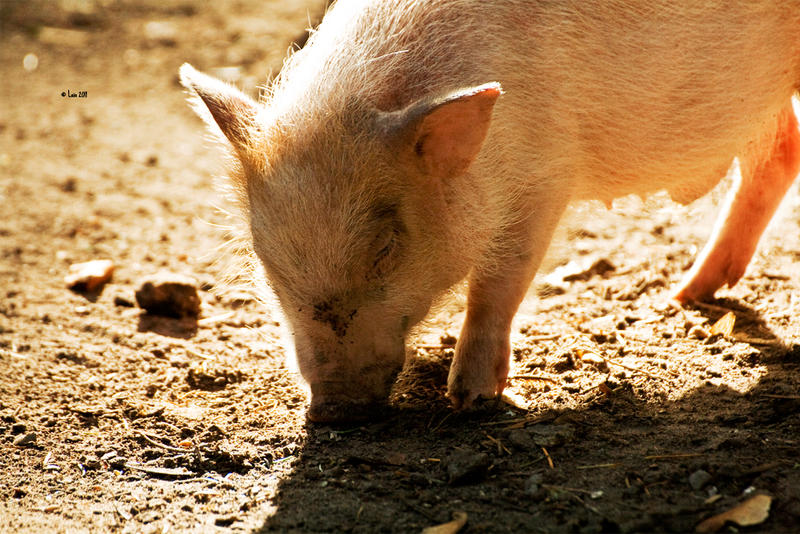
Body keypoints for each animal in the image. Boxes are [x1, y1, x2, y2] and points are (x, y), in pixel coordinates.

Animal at [181, 2, 800, 426]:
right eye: (266, 257)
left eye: (385, 249)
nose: (335, 410)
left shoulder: (546, 173)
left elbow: (501, 280)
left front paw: (471, 400)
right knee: (781, 149)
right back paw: (684, 297)